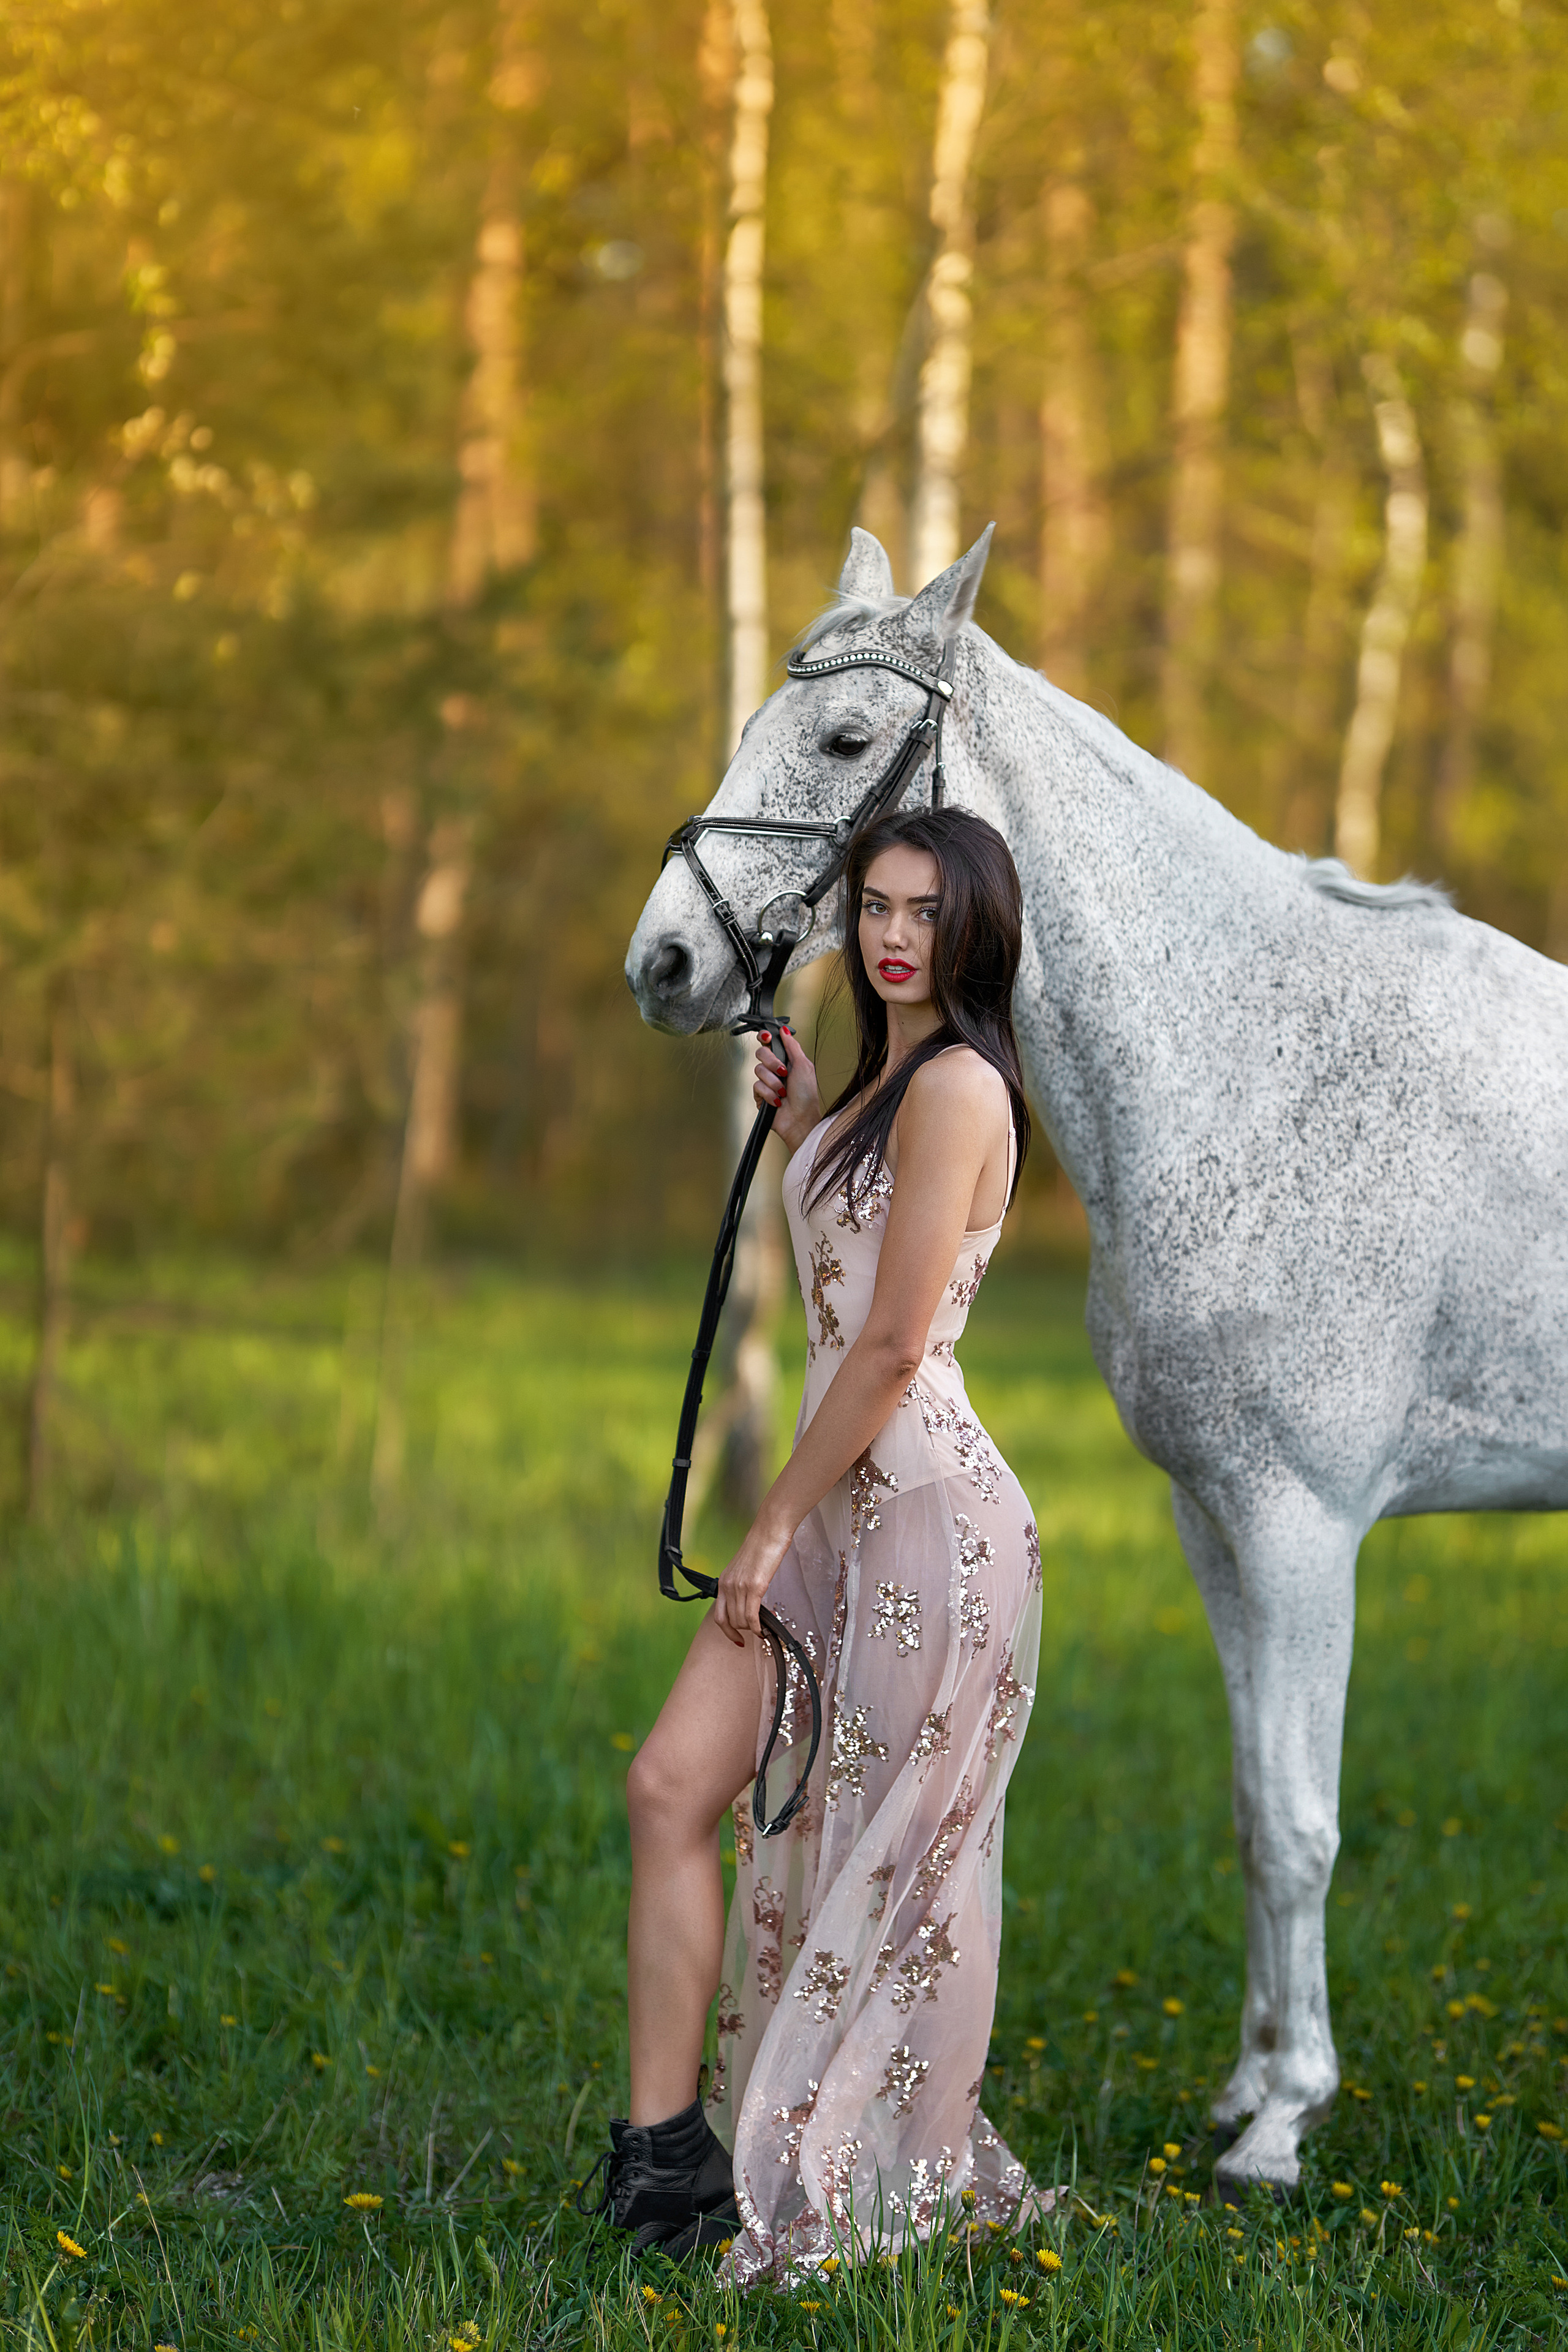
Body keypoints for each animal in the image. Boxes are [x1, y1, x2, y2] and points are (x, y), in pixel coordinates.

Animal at [624, 523, 1568, 2192]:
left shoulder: (1300, 1522)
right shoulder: (1213, 1516)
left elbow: (1301, 1816)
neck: (1254, 1063)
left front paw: (1280, 2126)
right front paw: (1250, 2085)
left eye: (847, 741)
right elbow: (1252, 1810)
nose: (663, 962)